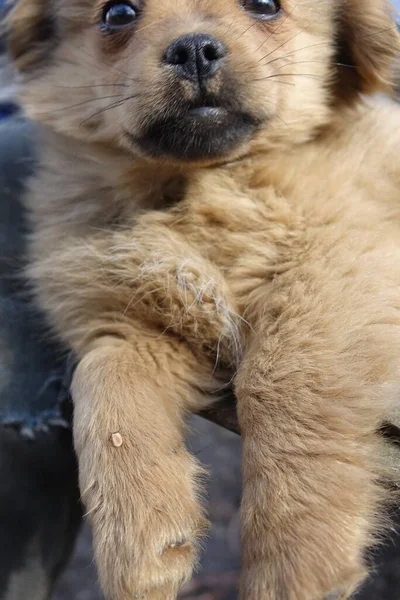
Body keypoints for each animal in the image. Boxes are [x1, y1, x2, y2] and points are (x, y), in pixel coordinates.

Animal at [4, 0, 400, 596]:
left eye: (265, 5)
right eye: (118, 13)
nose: (195, 49)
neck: (197, 190)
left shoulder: (338, 264)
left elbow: (280, 379)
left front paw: (294, 555)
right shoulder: (139, 322)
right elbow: (103, 385)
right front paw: (141, 534)